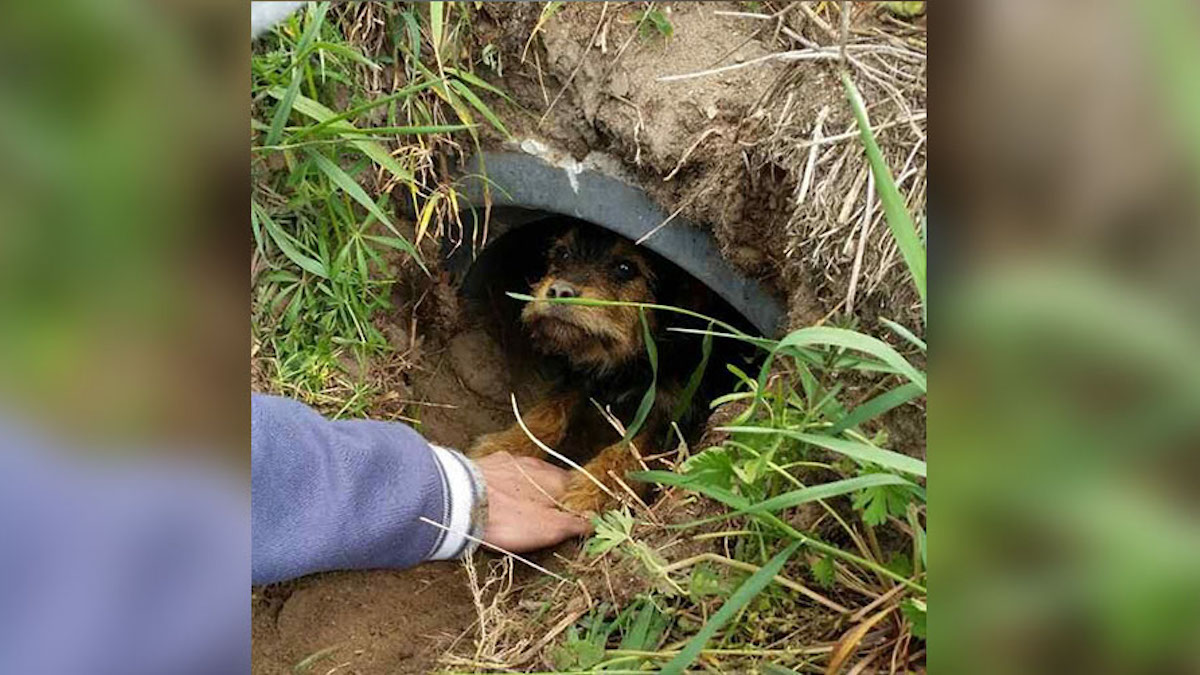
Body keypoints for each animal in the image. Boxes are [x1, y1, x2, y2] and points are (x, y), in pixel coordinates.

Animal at [465, 223, 720, 511]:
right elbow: (549, 411)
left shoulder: (676, 412)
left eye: (625, 268)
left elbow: (633, 447)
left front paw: (593, 493)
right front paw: (506, 446)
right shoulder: (581, 378)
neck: (630, 364)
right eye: (562, 254)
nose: (559, 291)